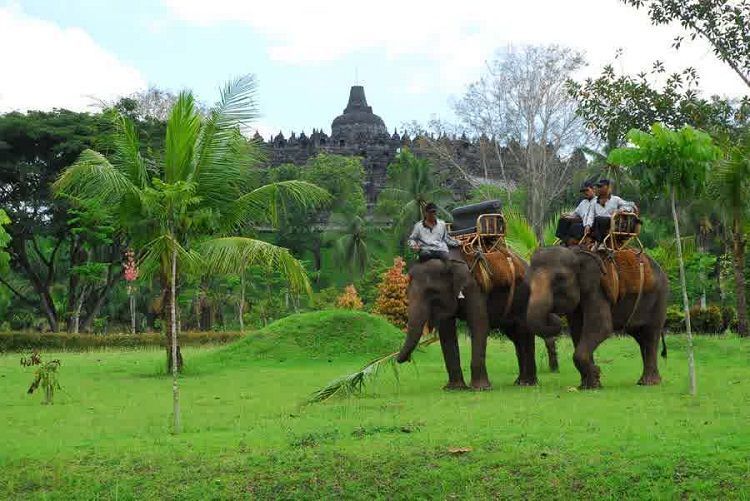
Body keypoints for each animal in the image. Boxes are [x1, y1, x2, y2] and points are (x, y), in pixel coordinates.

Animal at [396, 248, 560, 388]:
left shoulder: (474, 287)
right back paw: (519, 382)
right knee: (515, 336)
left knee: (524, 332)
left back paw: (528, 383)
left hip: (526, 298)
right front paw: (454, 388)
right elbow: (446, 331)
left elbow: (479, 324)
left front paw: (480, 388)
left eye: (432, 292)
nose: (403, 359)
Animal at [524, 245, 672, 386]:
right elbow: (577, 330)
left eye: (560, 279)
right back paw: (645, 381)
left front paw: (595, 374)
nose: (554, 316)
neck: (576, 253)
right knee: (640, 337)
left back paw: (649, 383)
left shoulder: (597, 288)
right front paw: (590, 383)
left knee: (650, 334)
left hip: (659, 298)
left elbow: (600, 327)